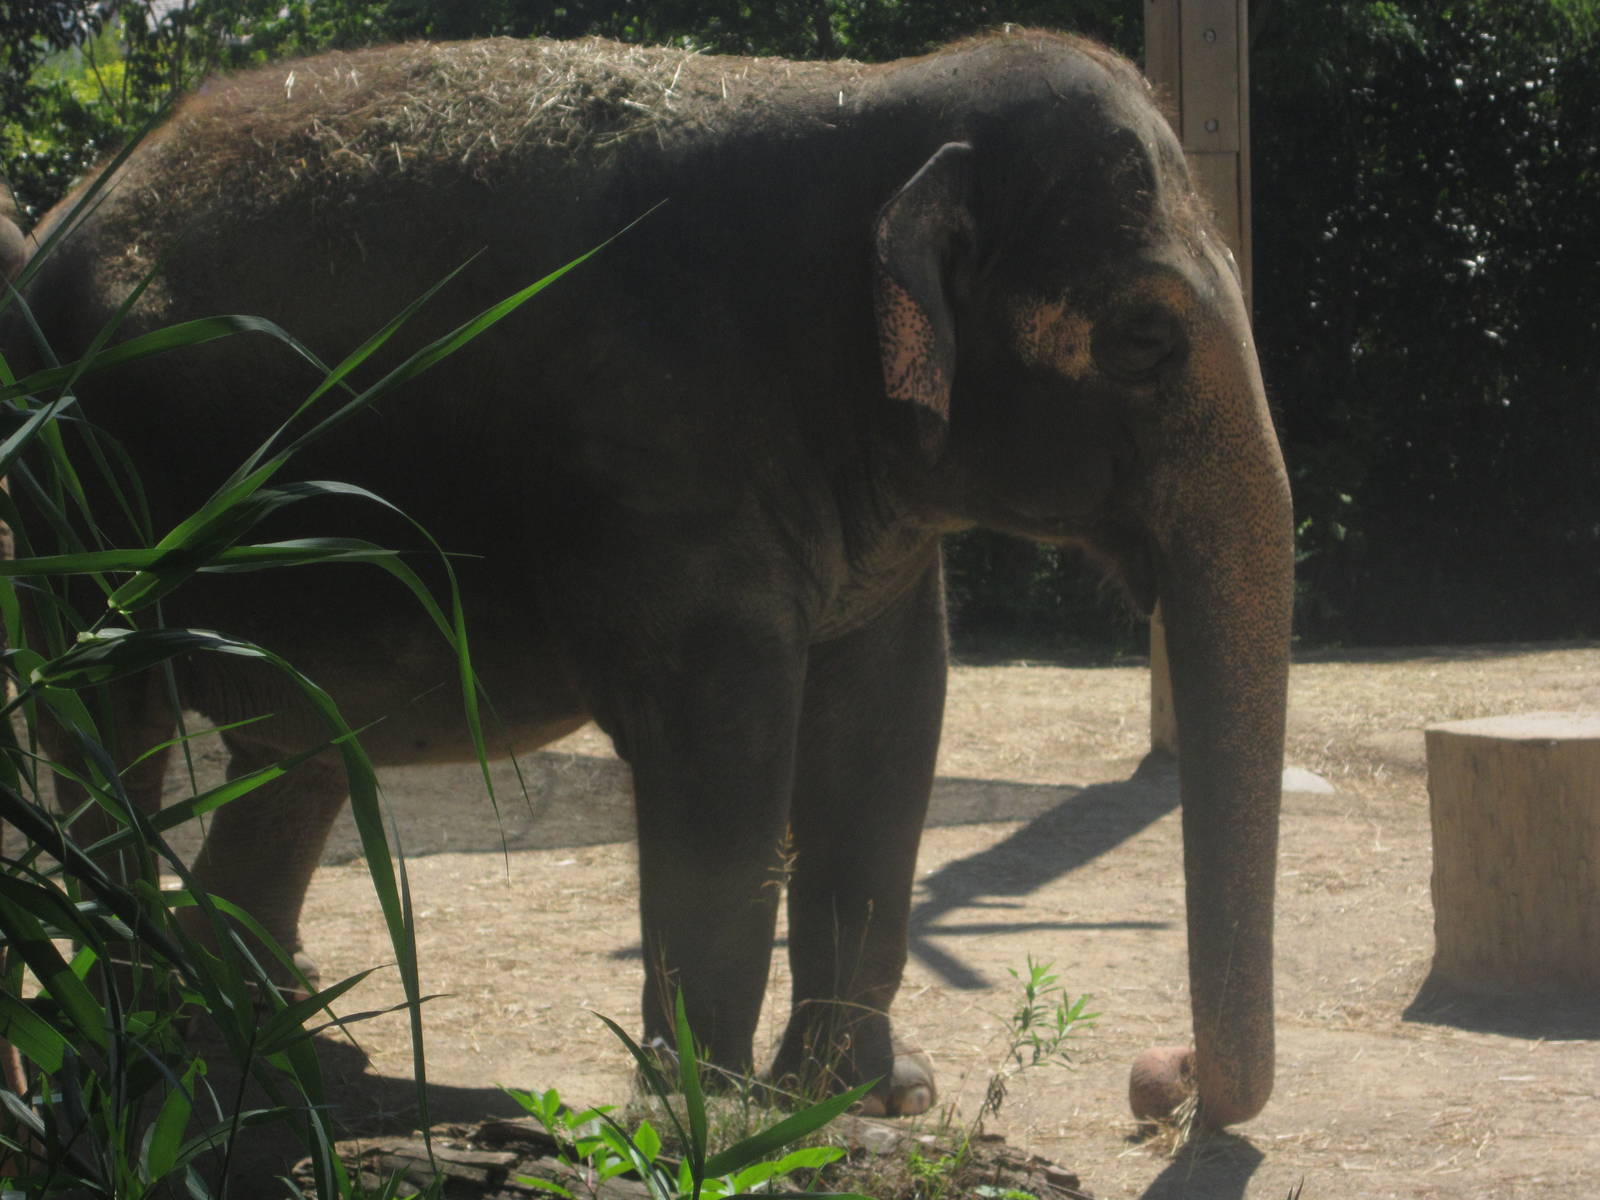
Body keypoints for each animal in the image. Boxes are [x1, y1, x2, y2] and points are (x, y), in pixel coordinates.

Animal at [0, 30, 1292, 1127]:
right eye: (1143, 342)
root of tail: (63, 212)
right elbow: (722, 752)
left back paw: (273, 1054)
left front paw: (865, 1099)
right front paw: (705, 1121)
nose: (1163, 1080)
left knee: (297, 754)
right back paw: (142, 1062)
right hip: (73, 494)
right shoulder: (658, 453)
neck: (877, 103)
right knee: (109, 736)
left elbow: (887, 725)